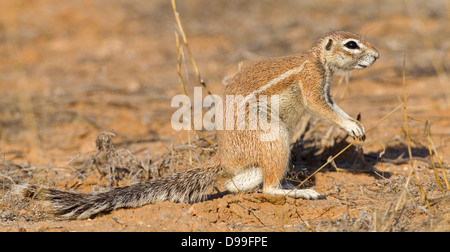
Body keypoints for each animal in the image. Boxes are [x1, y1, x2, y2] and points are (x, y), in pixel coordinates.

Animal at [13, 31, 380, 219]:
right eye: (351, 44)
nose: (377, 56)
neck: (317, 58)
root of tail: (223, 157)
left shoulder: (325, 88)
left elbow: (333, 106)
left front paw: (355, 125)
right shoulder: (312, 83)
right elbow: (321, 108)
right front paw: (351, 127)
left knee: (236, 184)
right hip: (273, 136)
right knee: (267, 188)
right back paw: (298, 191)